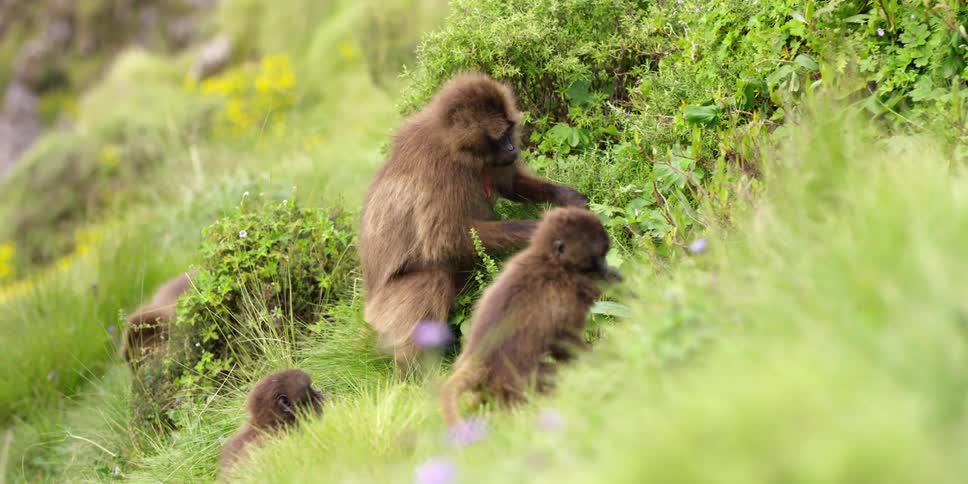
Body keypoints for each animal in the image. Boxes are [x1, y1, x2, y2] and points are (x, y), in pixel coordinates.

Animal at [359, 72, 589, 372]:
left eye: (509, 130)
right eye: (500, 136)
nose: (513, 148)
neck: (457, 147)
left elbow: (510, 185)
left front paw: (568, 197)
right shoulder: (440, 173)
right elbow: (445, 239)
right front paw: (539, 229)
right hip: (385, 311)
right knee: (432, 280)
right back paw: (417, 371)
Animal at [439, 207, 620, 426]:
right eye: (600, 257)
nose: (607, 269)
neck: (549, 261)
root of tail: (479, 361)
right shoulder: (564, 292)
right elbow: (563, 339)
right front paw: (595, 360)